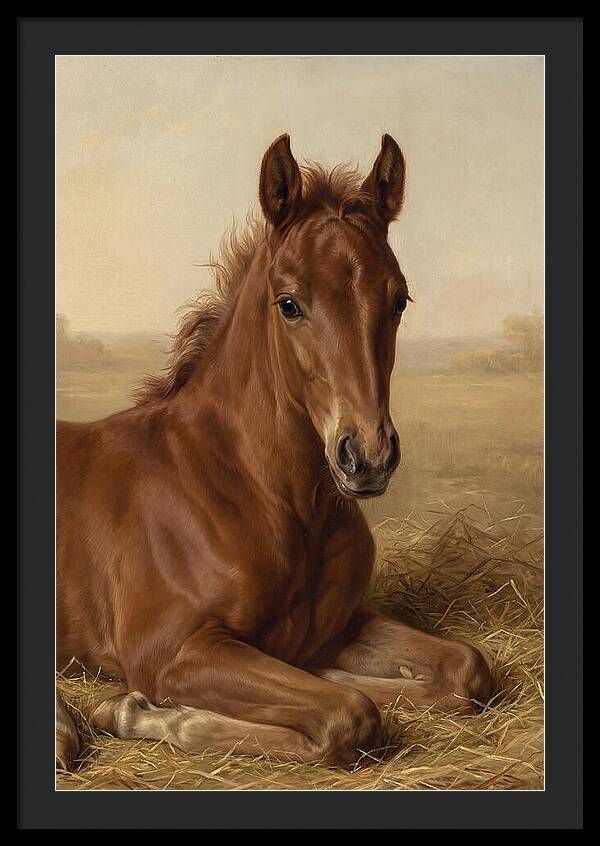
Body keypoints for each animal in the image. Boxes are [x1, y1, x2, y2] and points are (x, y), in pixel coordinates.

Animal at [56, 134, 492, 771]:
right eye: (288, 303)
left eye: (400, 300)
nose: (368, 456)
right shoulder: (170, 650)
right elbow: (349, 714)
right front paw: (136, 712)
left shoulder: (338, 623)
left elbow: (464, 669)